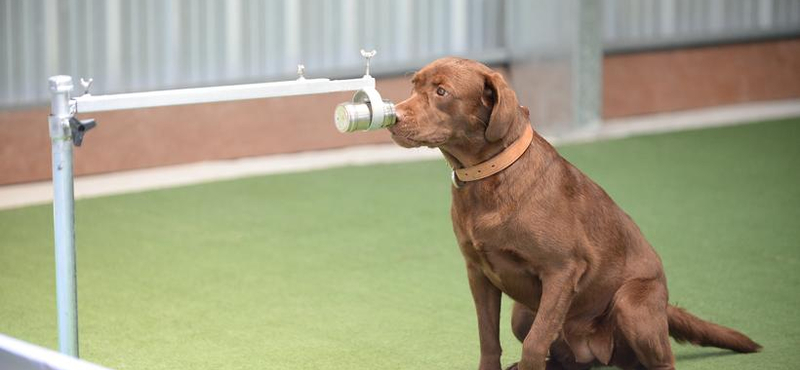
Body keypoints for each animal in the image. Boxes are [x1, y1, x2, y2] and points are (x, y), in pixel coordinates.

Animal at [390, 56, 764, 368]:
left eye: (441, 92)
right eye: (413, 86)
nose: (393, 116)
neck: (491, 175)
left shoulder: (562, 270)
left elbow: (536, 344)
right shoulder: (478, 273)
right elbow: (488, 341)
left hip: (631, 304)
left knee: (661, 360)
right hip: (522, 312)